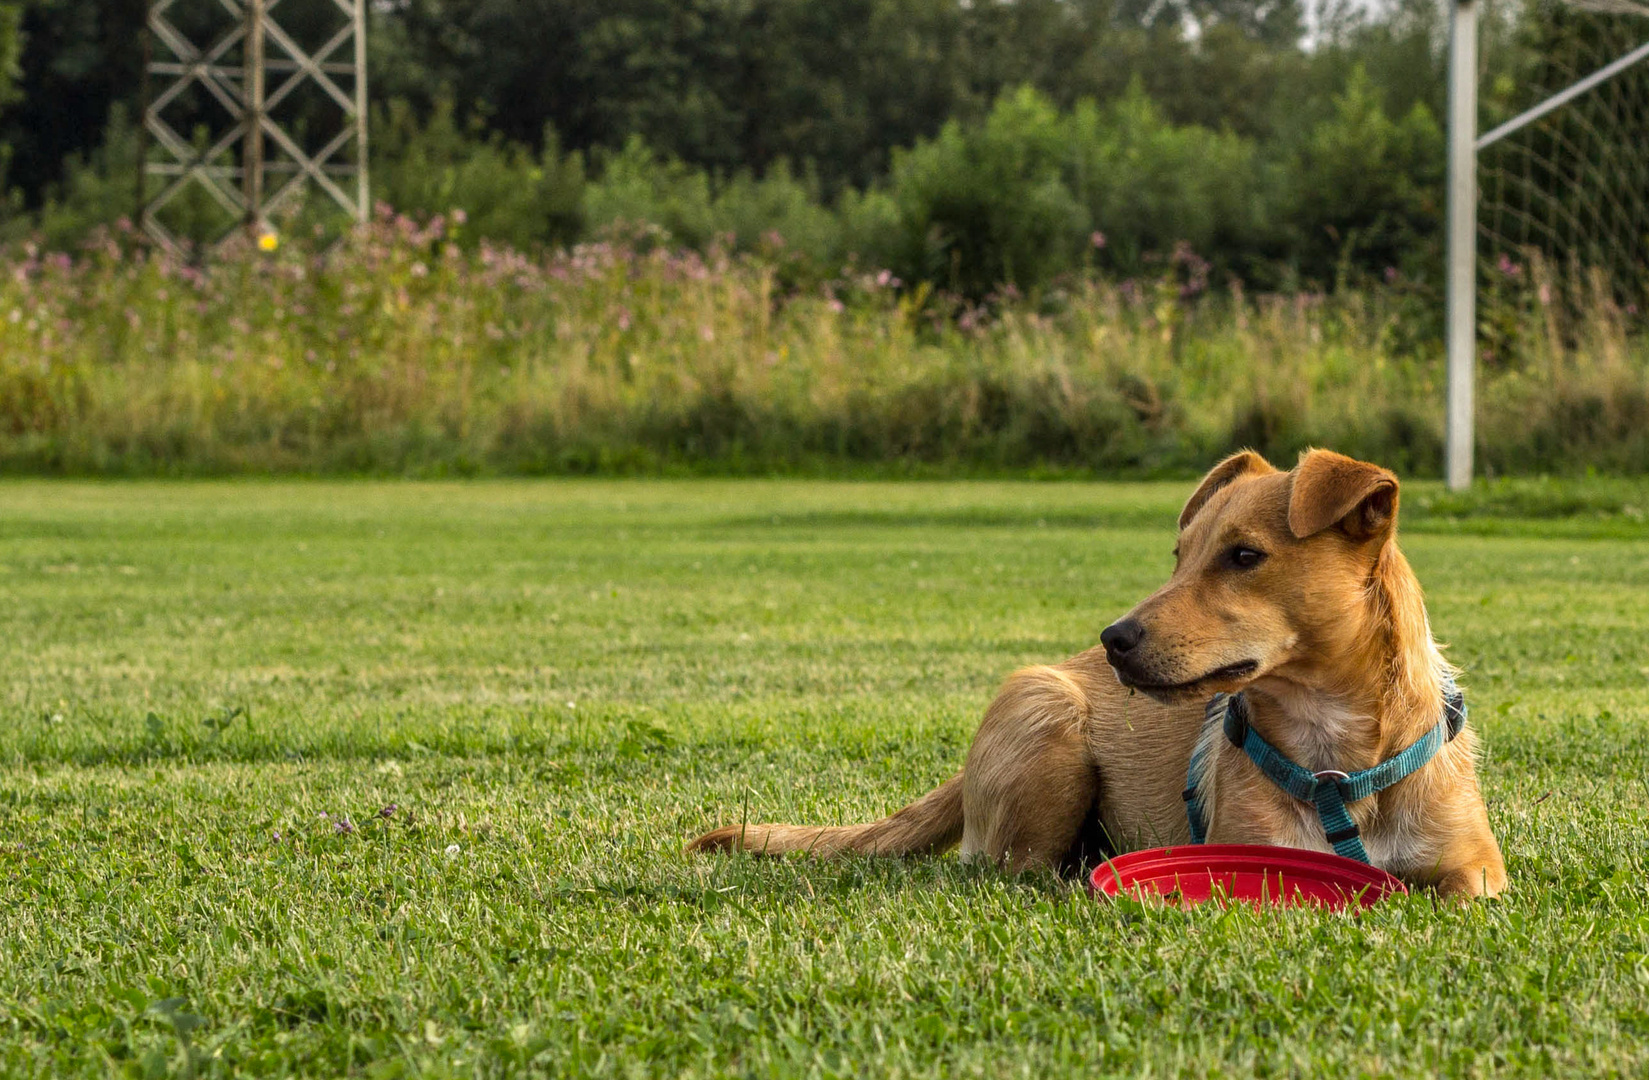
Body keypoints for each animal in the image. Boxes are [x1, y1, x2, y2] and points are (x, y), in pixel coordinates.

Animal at [689, 451, 1510, 896]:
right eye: (1177, 556)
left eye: (1244, 555)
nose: (1114, 639)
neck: (1336, 757)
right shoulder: (1250, 849)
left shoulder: (1477, 866)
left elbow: (1459, 890)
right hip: (1048, 728)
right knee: (1013, 865)